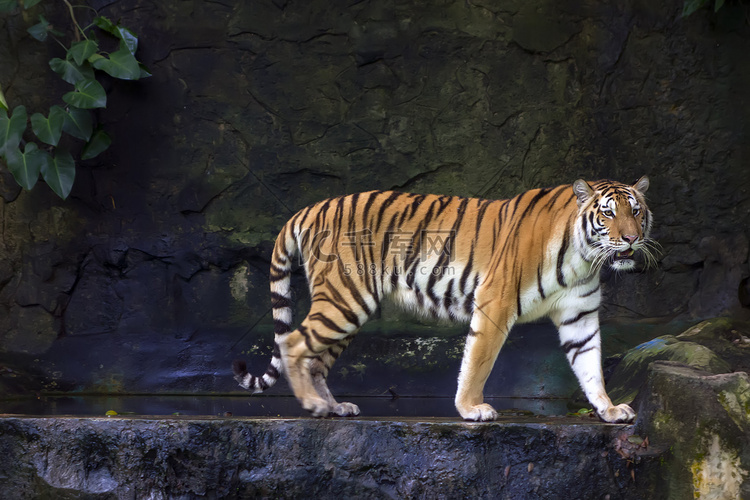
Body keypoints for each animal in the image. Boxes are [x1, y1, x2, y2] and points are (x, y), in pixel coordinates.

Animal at [232, 176, 656, 422]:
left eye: (636, 212)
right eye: (608, 214)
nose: (632, 238)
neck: (583, 257)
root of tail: (308, 208)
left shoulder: (579, 315)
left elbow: (590, 364)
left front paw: (608, 408)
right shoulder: (495, 301)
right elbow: (478, 362)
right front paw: (471, 409)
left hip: (349, 309)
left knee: (315, 359)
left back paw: (335, 407)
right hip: (344, 299)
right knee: (292, 342)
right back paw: (313, 405)